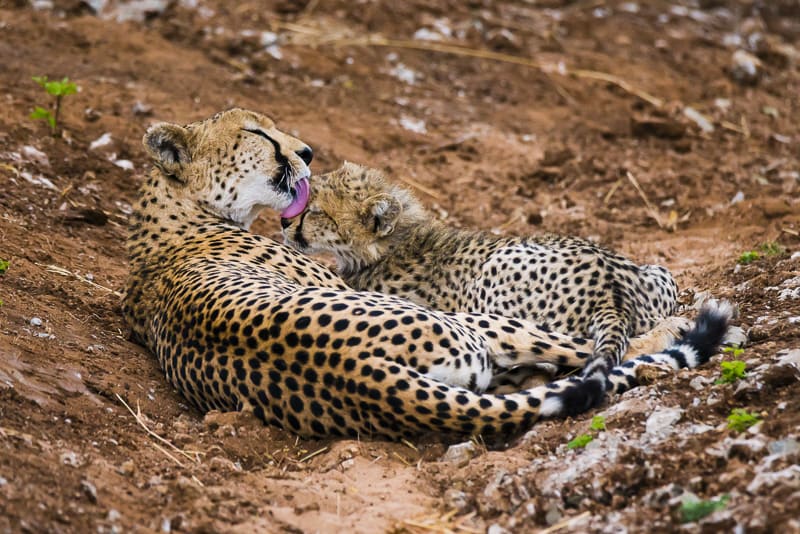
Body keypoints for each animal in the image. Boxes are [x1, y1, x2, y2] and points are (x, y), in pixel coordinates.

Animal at [123, 110, 732, 444]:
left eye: (315, 210)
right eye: (258, 133)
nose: (306, 152)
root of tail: (363, 372)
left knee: (586, 354)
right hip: (482, 326)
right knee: (593, 355)